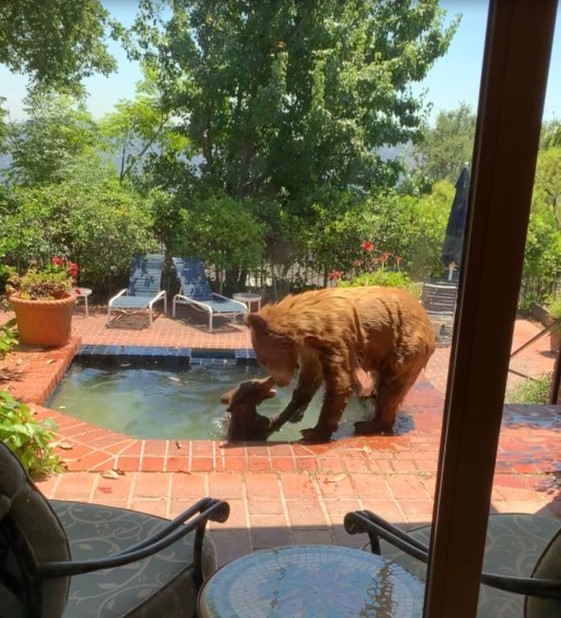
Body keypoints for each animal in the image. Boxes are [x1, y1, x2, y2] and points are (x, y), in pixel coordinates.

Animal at [247, 286, 436, 440]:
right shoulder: (312, 352)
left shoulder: (334, 339)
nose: (280, 383)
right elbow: (307, 385)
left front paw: (314, 432)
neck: (305, 328)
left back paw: (370, 424)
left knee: (392, 387)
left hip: (406, 347)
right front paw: (277, 422)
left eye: (265, 362)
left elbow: (339, 383)